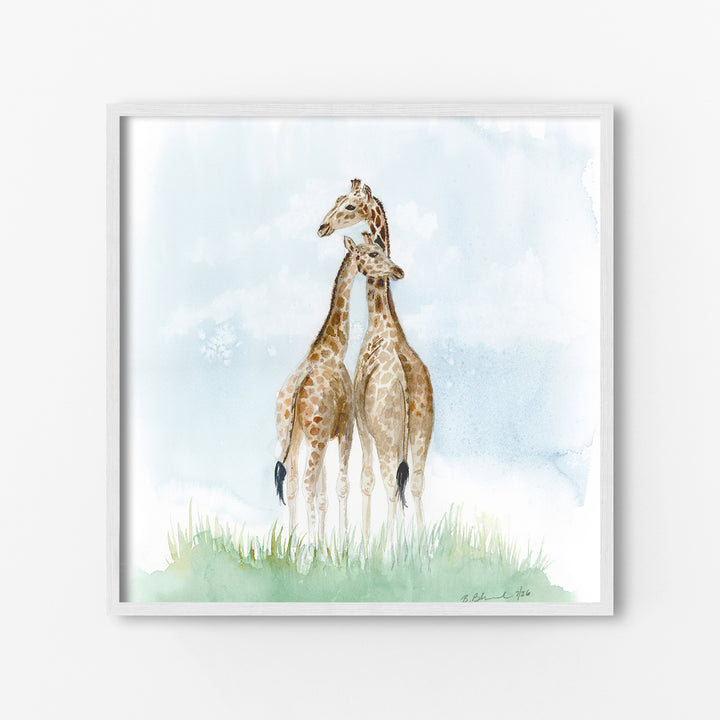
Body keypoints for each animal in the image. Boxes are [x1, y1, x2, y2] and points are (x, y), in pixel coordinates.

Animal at [274, 235, 405, 541]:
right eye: (373, 253)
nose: (398, 271)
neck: (333, 350)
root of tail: (295, 390)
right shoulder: (344, 426)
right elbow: (340, 486)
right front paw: (342, 544)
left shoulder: (324, 433)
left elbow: (323, 495)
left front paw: (325, 545)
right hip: (316, 437)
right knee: (306, 484)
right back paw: (306, 547)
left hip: (290, 436)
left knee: (292, 484)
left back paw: (289, 543)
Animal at [319, 181, 434, 539]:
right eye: (338, 199)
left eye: (350, 206)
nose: (322, 227)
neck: (383, 324)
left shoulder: (363, 422)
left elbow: (366, 481)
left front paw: (368, 542)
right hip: (421, 433)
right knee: (415, 484)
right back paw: (418, 546)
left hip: (388, 433)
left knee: (390, 484)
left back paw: (390, 547)